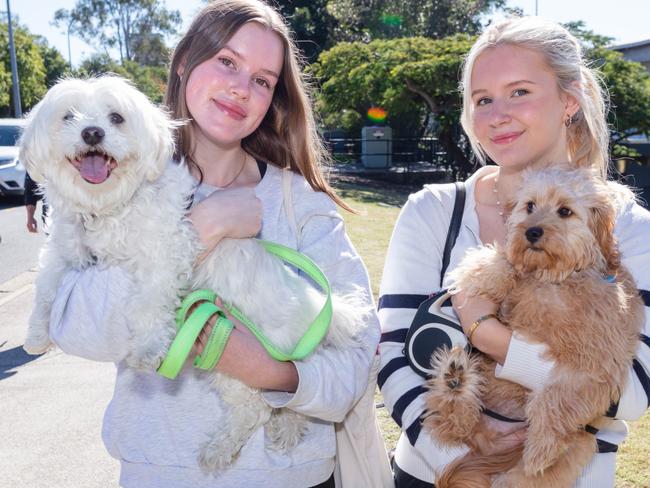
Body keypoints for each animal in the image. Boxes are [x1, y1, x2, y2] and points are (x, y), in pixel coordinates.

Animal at [21, 76, 364, 472]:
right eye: (68, 116)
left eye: (116, 117)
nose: (92, 132)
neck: (108, 207)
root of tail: (323, 311)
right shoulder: (64, 248)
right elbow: (47, 286)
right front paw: (36, 333)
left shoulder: (164, 251)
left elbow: (148, 303)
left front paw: (148, 347)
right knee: (289, 404)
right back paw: (286, 428)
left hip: (243, 360)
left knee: (257, 407)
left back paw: (221, 448)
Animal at [422, 169, 640, 488]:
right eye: (530, 206)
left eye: (565, 211)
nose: (532, 232)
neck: (554, 281)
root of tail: (490, 446)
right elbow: (507, 262)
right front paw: (483, 272)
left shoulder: (598, 363)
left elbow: (557, 397)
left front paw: (541, 448)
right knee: (455, 425)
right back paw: (455, 381)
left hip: (581, 442)